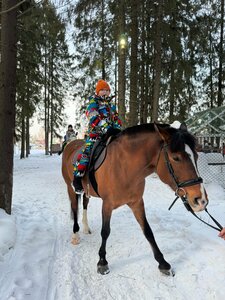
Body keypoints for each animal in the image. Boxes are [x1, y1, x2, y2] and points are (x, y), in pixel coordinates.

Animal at [61, 122, 207, 276]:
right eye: (176, 158)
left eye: (196, 156)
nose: (201, 200)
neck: (124, 167)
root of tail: (72, 143)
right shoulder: (107, 204)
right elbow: (105, 231)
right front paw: (102, 262)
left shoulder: (137, 203)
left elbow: (148, 231)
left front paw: (163, 263)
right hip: (70, 188)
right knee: (75, 208)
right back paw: (75, 235)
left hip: (86, 191)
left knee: (84, 203)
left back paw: (86, 227)